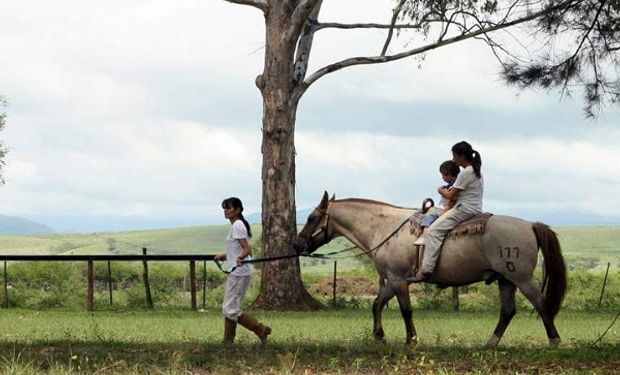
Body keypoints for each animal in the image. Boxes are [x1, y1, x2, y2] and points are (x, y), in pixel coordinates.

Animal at [294, 192, 568, 348]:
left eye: (310, 218)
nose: (297, 245)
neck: (386, 228)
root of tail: (530, 225)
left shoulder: (398, 279)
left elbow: (405, 310)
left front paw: (411, 340)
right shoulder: (394, 280)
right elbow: (377, 303)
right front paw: (379, 335)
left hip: (520, 278)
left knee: (541, 304)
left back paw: (554, 341)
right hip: (505, 280)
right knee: (508, 312)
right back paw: (490, 343)